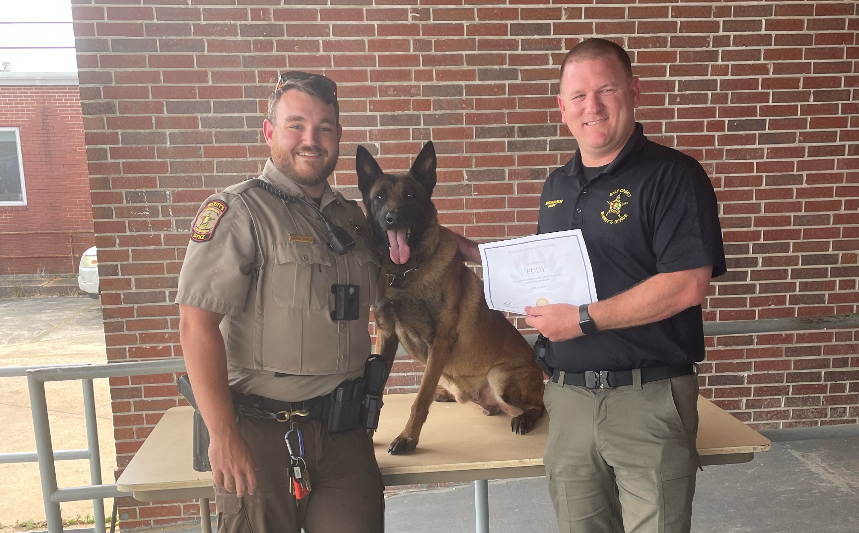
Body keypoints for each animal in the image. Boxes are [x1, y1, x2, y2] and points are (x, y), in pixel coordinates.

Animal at [354, 140, 544, 454]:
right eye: (379, 197)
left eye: (410, 196)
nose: (393, 218)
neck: (405, 274)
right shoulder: (385, 335)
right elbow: (376, 391)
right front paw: (367, 435)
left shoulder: (439, 342)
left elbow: (419, 400)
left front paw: (407, 438)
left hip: (499, 377)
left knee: (540, 406)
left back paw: (525, 418)